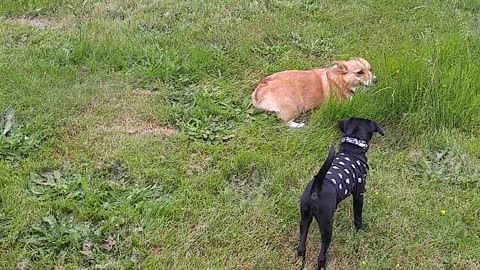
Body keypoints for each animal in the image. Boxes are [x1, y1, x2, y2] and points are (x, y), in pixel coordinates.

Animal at [296, 117, 382, 268]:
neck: (352, 147)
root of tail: (316, 190)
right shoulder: (359, 193)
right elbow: (358, 216)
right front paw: (360, 230)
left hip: (305, 219)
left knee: (301, 247)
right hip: (326, 226)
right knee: (321, 255)